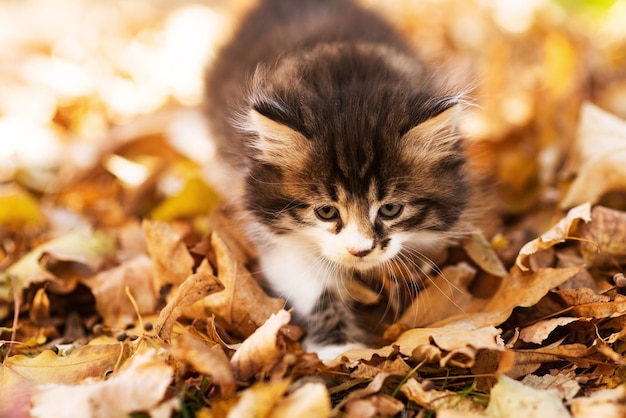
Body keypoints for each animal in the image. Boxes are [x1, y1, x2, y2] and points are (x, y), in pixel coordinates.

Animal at [204, 0, 472, 360]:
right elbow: (315, 286)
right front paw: (339, 346)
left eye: (390, 209)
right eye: (326, 212)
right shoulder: (277, 237)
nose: (360, 251)